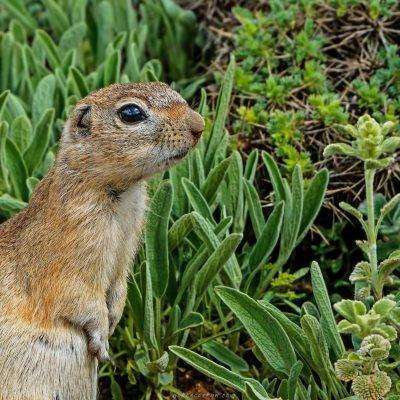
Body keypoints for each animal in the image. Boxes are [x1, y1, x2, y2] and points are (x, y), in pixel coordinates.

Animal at [0, 83, 205, 398]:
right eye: (131, 112)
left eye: (168, 88)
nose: (200, 125)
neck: (122, 195)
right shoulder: (71, 256)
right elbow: (80, 298)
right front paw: (103, 343)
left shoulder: (125, 251)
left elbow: (118, 287)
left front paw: (113, 322)